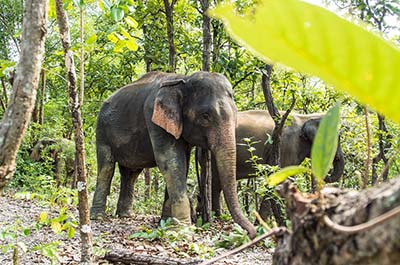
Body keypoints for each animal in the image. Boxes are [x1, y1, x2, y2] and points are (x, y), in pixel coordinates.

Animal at [90, 71, 256, 238]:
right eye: (205, 116)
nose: (251, 233)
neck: (182, 80)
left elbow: (183, 164)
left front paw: (166, 222)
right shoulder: (154, 118)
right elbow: (171, 162)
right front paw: (182, 229)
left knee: (130, 174)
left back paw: (126, 215)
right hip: (102, 130)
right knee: (106, 168)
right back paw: (97, 217)